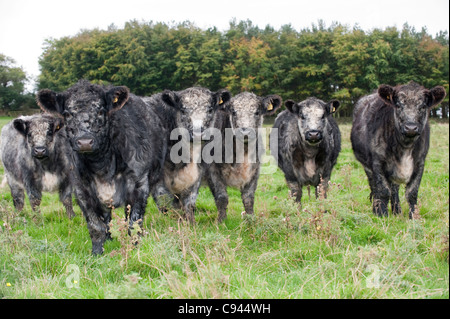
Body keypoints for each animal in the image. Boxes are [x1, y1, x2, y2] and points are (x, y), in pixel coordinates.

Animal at [35, 80, 169, 255]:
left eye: (100, 111)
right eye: (68, 114)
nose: (85, 142)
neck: (102, 165)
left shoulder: (139, 184)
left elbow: (134, 222)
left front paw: (134, 249)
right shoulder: (82, 189)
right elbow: (96, 225)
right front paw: (97, 252)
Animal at [207, 92, 284, 222]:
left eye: (257, 112)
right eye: (233, 112)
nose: (245, 133)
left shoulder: (254, 170)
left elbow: (248, 197)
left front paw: (251, 220)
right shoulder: (212, 170)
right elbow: (222, 197)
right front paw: (221, 221)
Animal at [352, 81, 446, 219]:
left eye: (423, 106)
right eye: (398, 105)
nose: (411, 127)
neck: (405, 145)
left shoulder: (420, 162)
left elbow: (412, 192)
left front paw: (413, 216)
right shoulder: (378, 162)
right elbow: (383, 190)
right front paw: (382, 214)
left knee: (394, 189)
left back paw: (397, 211)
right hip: (368, 166)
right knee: (375, 187)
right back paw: (377, 208)